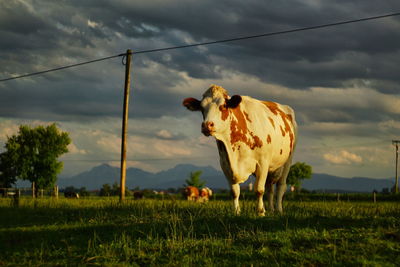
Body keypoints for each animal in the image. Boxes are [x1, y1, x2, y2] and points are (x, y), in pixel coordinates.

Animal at [183, 85, 296, 216]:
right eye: (201, 108)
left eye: (223, 106)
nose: (207, 125)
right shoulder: (226, 165)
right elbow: (235, 192)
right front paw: (236, 211)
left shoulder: (263, 162)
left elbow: (259, 189)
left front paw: (260, 212)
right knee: (270, 188)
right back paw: (271, 209)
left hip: (288, 160)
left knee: (280, 186)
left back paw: (278, 210)